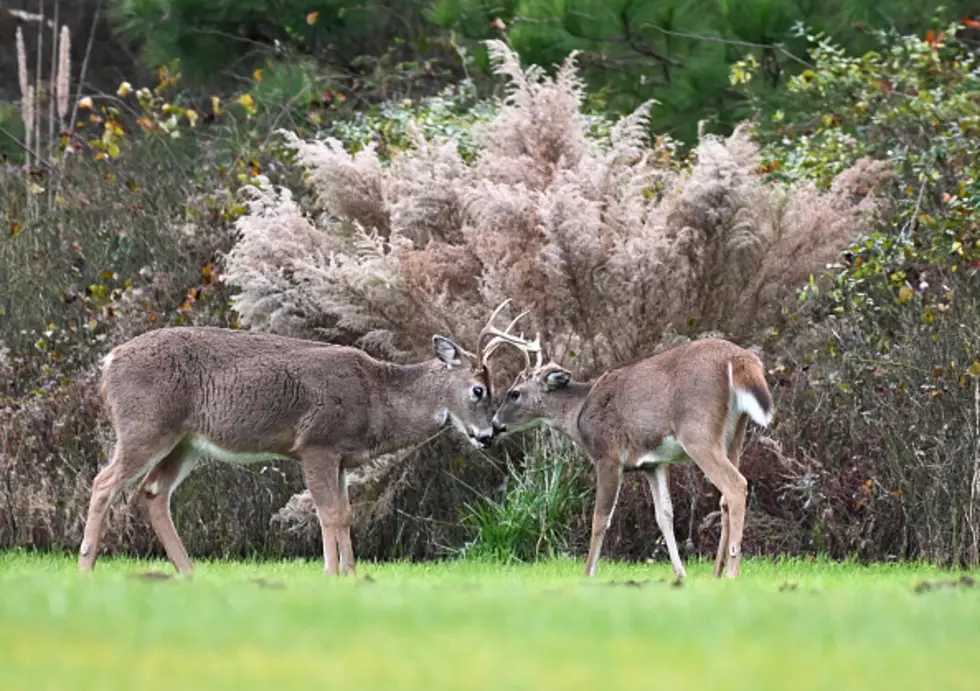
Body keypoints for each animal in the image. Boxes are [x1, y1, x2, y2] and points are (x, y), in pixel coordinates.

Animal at [81, 302, 528, 580]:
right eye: (478, 390)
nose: (489, 435)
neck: (377, 398)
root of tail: (109, 362)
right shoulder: (317, 443)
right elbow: (327, 513)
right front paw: (330, 574)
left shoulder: (344, 458)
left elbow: (345, 514)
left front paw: (352, 574)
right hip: (145, 424)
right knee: (104, 483)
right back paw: (86, 567)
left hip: (185, 442)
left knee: (153, 492)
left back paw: (190, 573)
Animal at [486, 328, 776, 580]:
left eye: (514, 394)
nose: (492, 427)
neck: (578, 414)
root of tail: (740, 358)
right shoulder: (652, 464)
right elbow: (664, 515)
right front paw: (680, 574)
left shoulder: (608, 456)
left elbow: (600, 518)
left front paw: (588, 573)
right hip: (734, 433)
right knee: (725, 497)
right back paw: (717, 572)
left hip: (698, 432)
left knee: (735, 485)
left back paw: (732, 572)